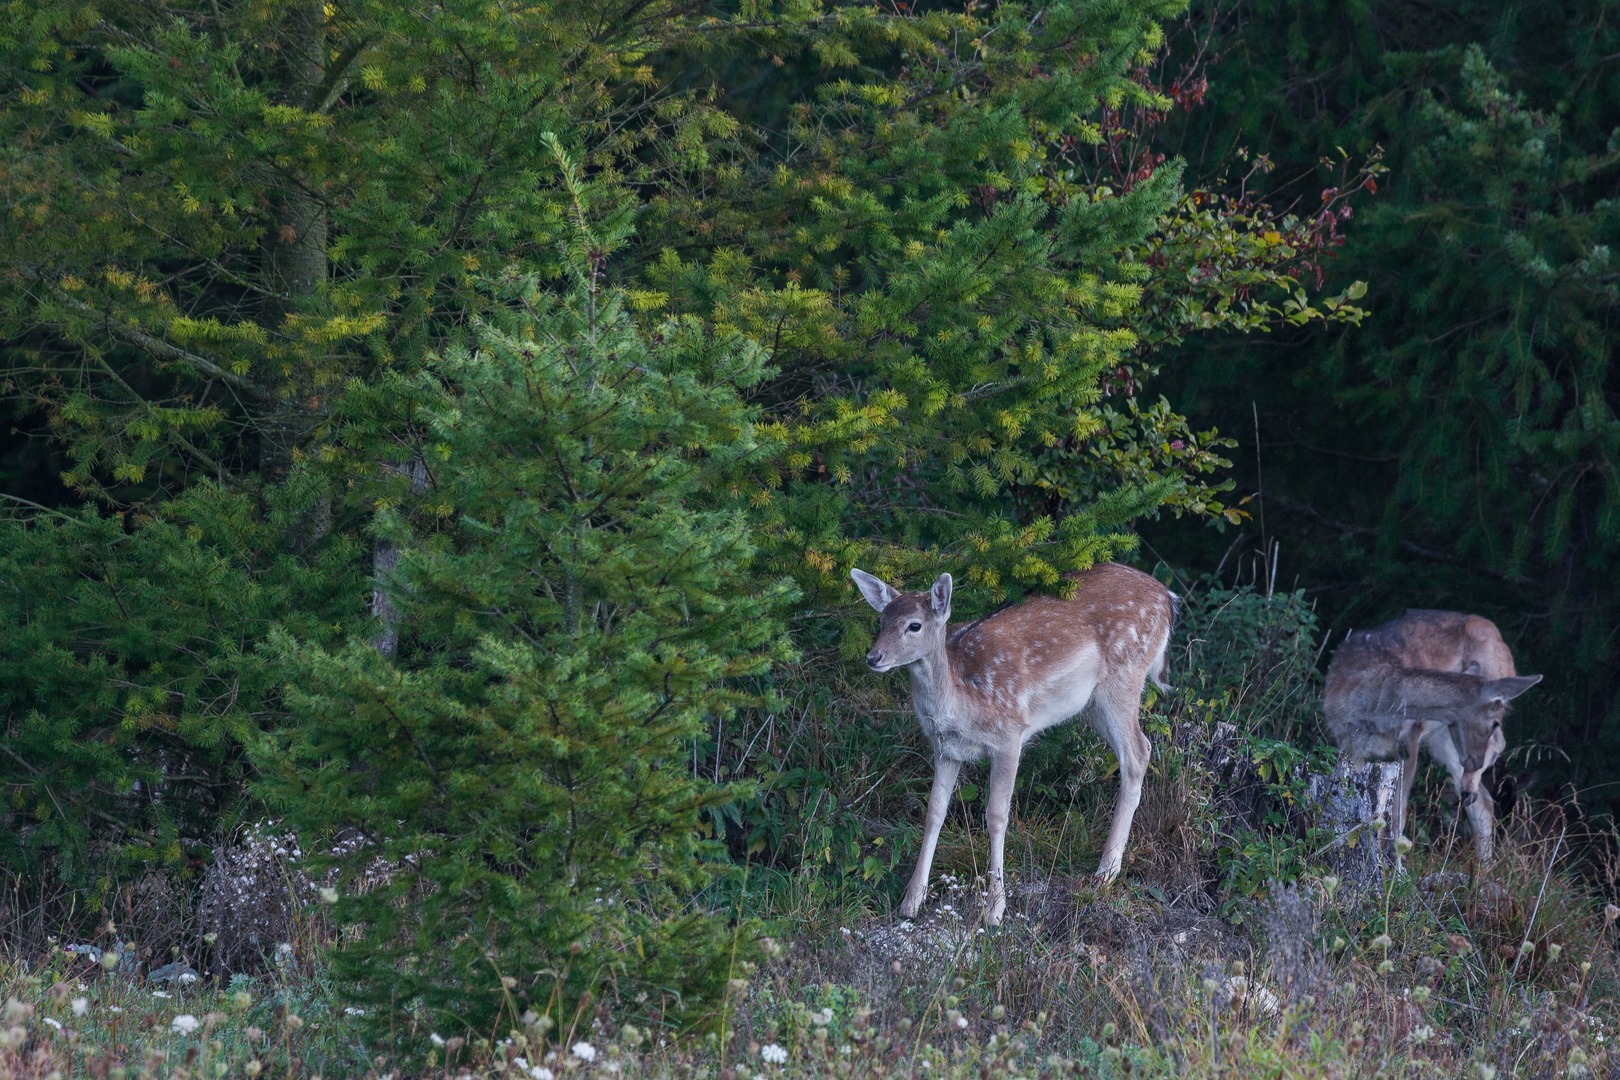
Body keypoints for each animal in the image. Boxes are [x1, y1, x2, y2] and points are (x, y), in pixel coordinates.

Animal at [848, 563, 1179, 926]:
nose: (873, 657)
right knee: (1141, 749)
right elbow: (934, 812)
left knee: (1138, 753)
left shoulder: (1009, 734)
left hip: (1124, 676)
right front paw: (911, 902)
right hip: (1093, 702)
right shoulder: (945, 749)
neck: (960, 696)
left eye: (914, 625)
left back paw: (1105, 873)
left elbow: (996, 815)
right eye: (881, 621)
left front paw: (994, 909)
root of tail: (1167, 597)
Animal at [1321, 608, 1535, 861]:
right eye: (1492, 722)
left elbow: (1399, 812)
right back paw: (1482, 862)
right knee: (1485, 800)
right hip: (1441, 738)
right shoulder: (1347, 742)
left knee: (1499, 746)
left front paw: (1396, 862)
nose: (1477, 761)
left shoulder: (1409, 736)